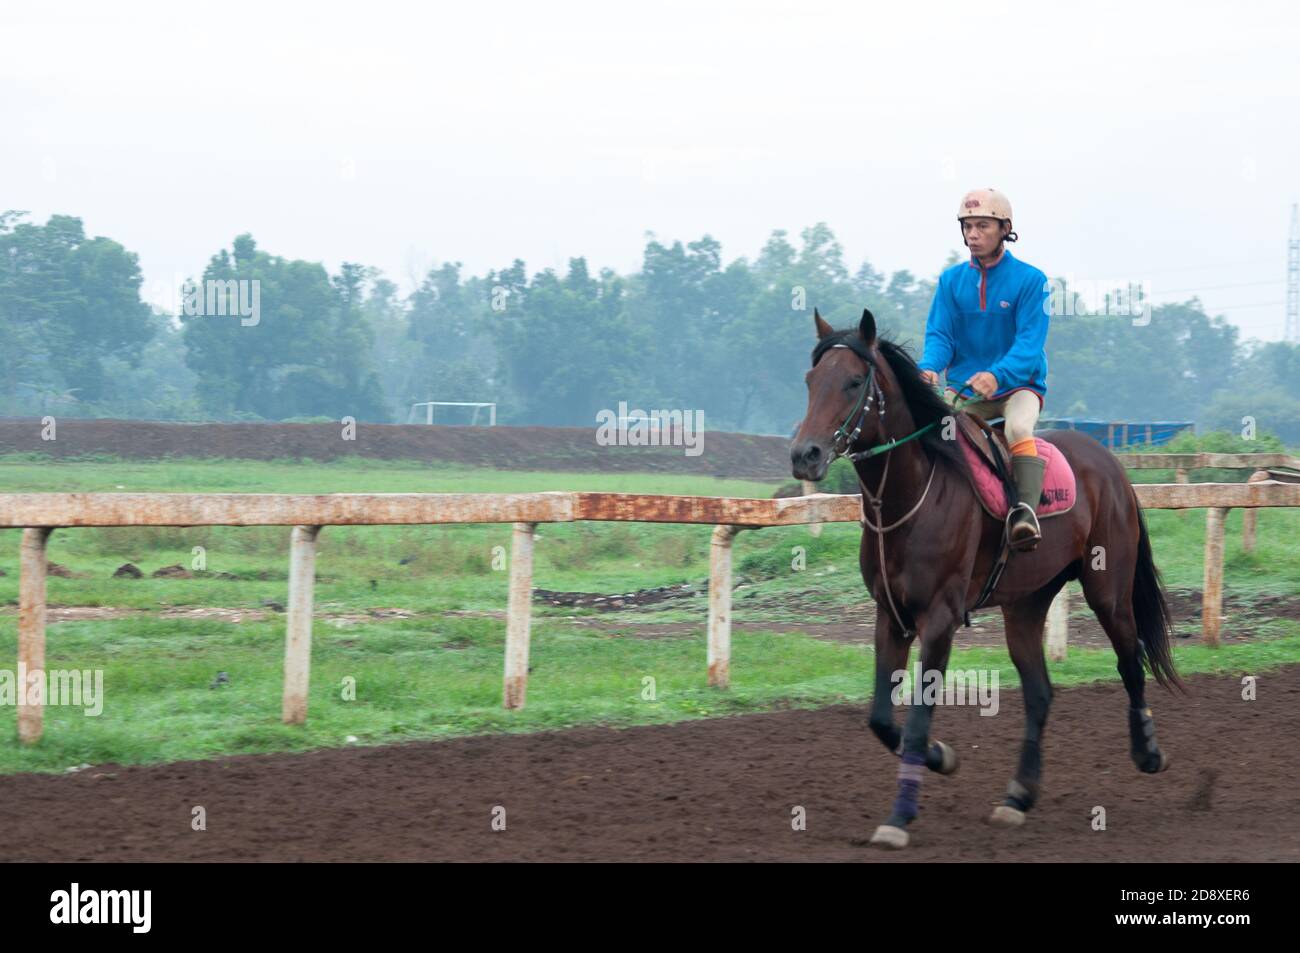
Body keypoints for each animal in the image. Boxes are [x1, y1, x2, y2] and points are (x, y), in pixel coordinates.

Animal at [785, 304, 1185, 847]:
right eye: (811, 380)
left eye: (851, 381)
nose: (804, 455)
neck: (911, 498)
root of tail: (1110, 463)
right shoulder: (891, 617)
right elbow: (882, 719)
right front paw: (942, 757)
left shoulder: (939, 619)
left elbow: (916, 717)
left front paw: (899, 816)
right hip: (1025, 605)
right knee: (1040, 693)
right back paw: (1018, 796)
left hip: (1108, 591)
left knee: (1130, 662)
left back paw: (1148, 752)